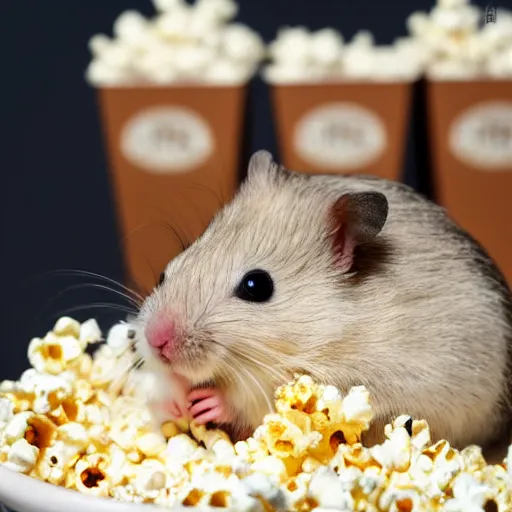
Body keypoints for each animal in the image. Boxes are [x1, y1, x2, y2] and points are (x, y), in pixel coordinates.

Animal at [134, 150, 512, 454]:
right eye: (179, 259)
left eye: (257, 286)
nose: (155, 340)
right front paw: (177, 401)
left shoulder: (337, 379)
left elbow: (253, 401)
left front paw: (207, 403)